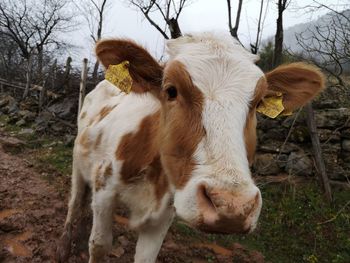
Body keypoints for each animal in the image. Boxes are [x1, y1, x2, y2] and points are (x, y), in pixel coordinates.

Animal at [56, 32, 324, 262]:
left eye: (258, 103)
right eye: (171, 90)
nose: (232, 206)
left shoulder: (164, 215)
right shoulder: (104, 189)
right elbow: (100, 245)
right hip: (78, 162)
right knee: (75, 201)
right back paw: (65, 246)